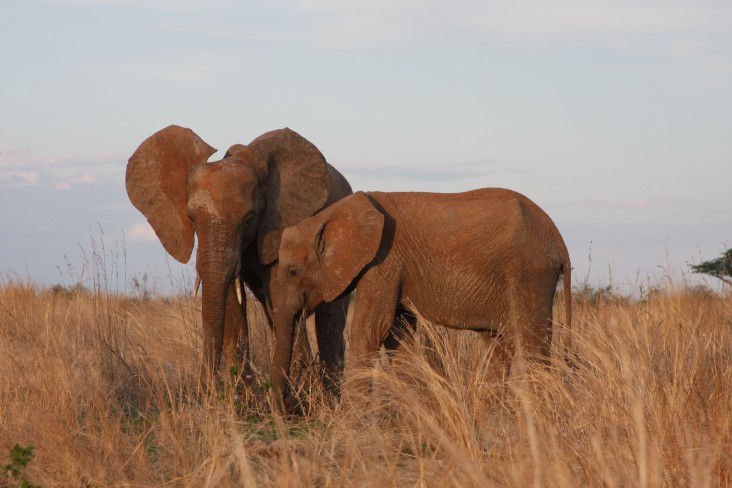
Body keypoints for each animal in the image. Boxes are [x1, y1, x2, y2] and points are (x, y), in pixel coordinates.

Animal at [125, 124, 352, 390]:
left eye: (249, 219)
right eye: (191, 218)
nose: (205, 388)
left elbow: (281, 300)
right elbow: (232, 303)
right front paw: (242, 394)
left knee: (329, 322)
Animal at [268, 190, 572, 412]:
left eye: (293, 271)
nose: (290, 404)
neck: (329, 216)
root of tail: (558, 236)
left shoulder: (383, 262)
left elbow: (371, 330)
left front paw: (352, 422)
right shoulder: (393, 269)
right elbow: (399, 337)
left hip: (530, 274)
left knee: (532, 346)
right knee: (499, 346)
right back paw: (491, 415)